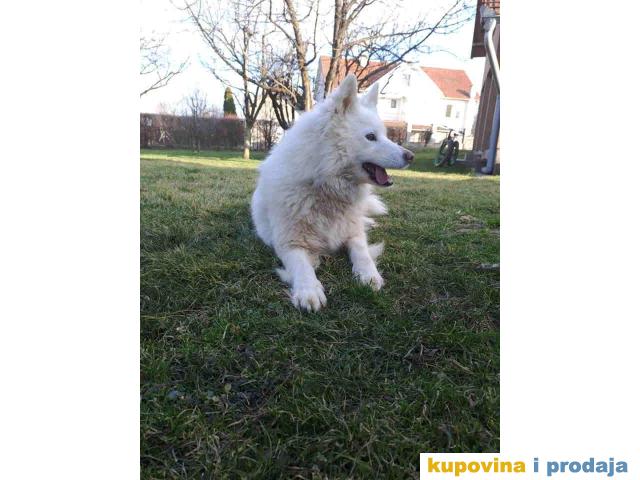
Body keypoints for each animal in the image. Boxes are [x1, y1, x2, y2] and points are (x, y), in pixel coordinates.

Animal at [251, 73, 414, 311]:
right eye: (371, 136)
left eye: (385, 135)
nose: (410, 156)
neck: (326, 189)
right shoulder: (289, 243)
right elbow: (302, 267)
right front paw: (309, 290)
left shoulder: (353, 234)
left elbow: (362, 252)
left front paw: (369, 274)